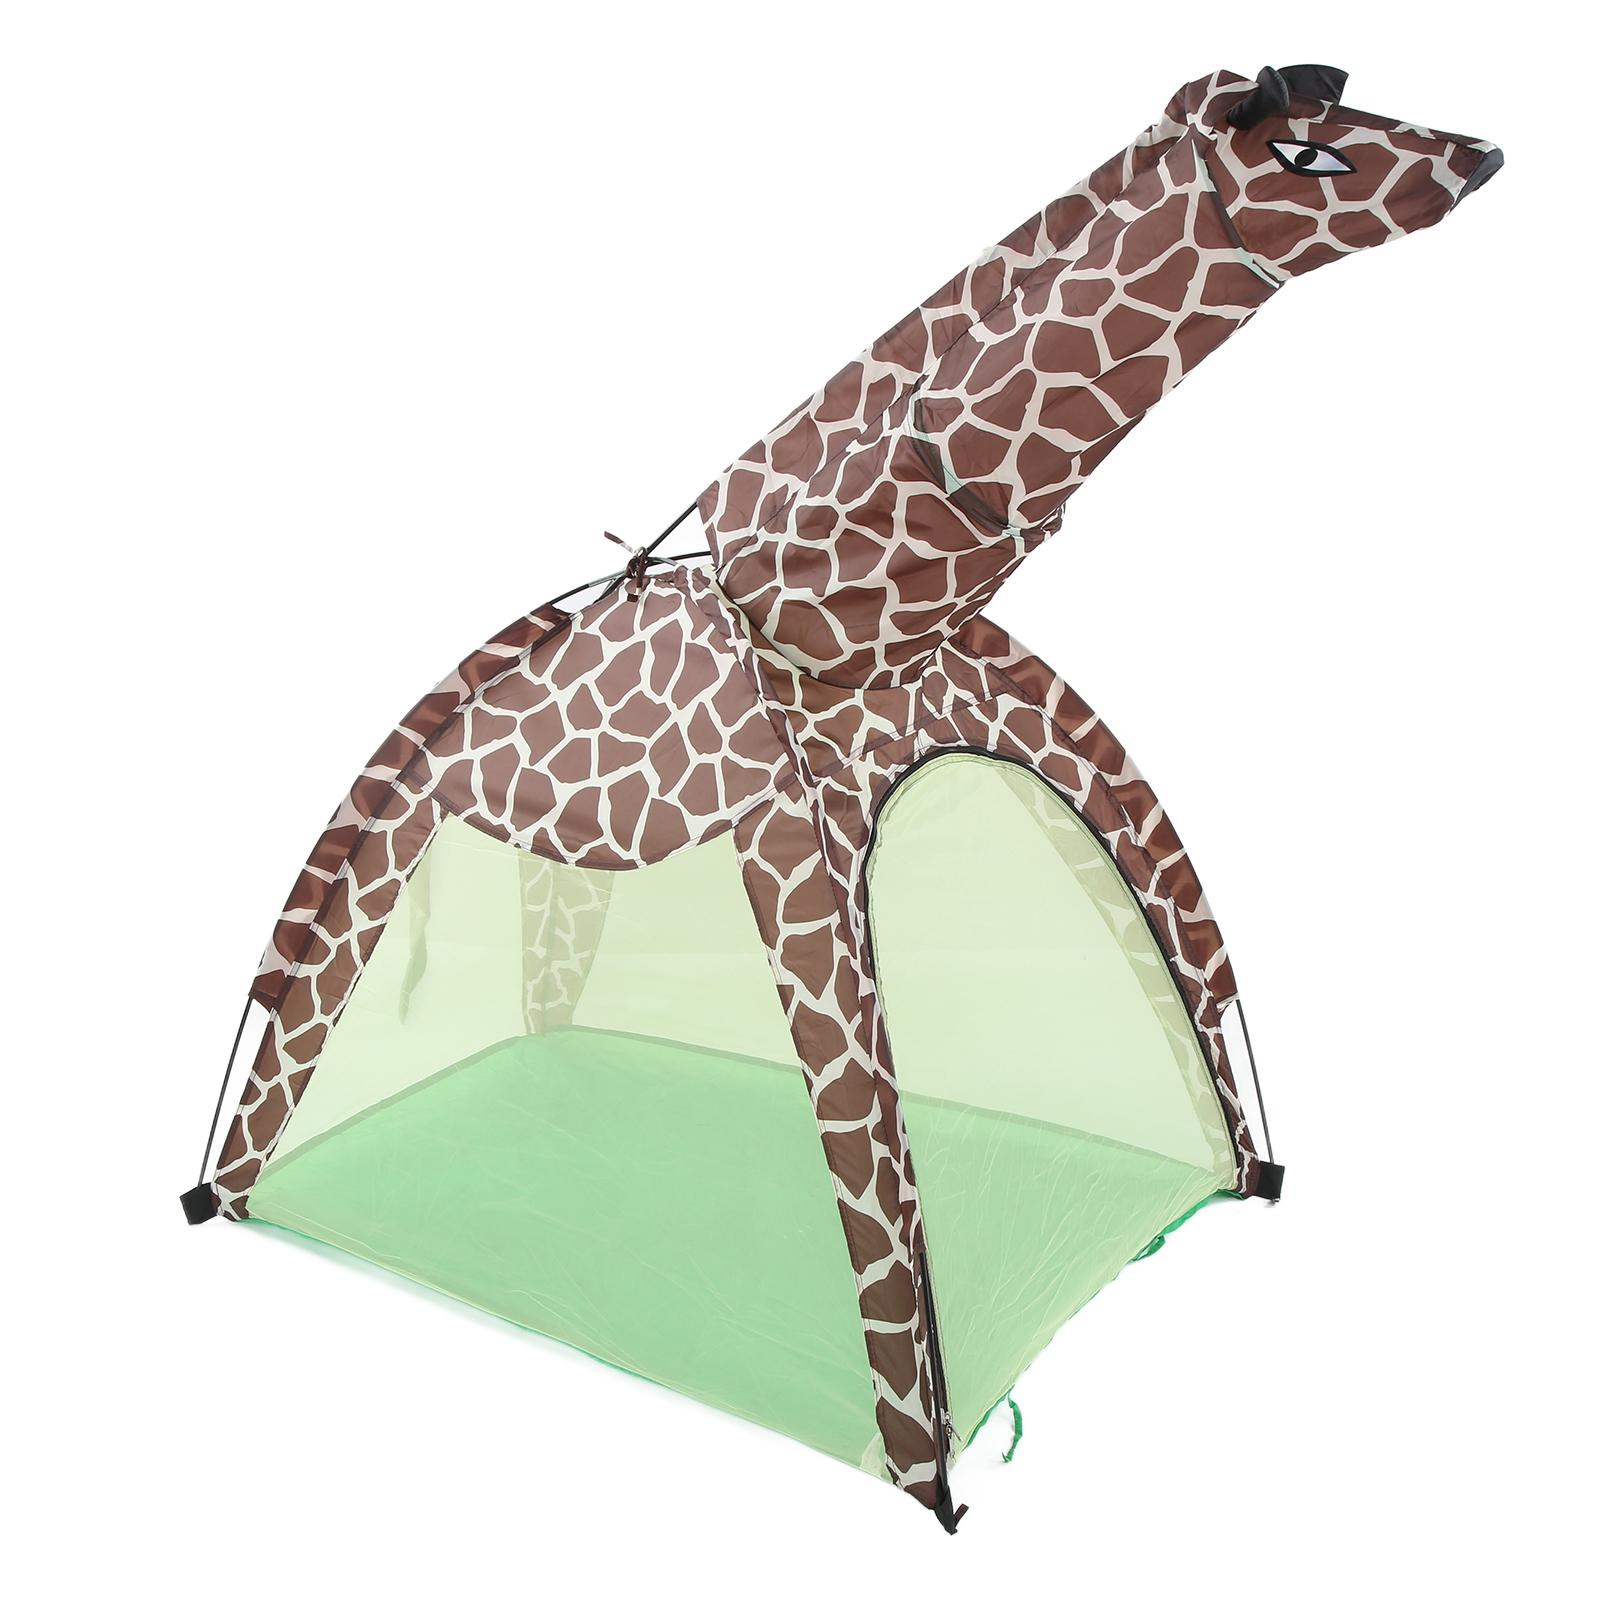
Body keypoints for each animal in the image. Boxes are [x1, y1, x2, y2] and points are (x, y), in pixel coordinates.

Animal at [196, 67, 1498, 1530]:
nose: (1483, 155)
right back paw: (232, 1185)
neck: (840, 617)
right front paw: (924, 1459)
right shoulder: (790, 846)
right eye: (1308, 153)